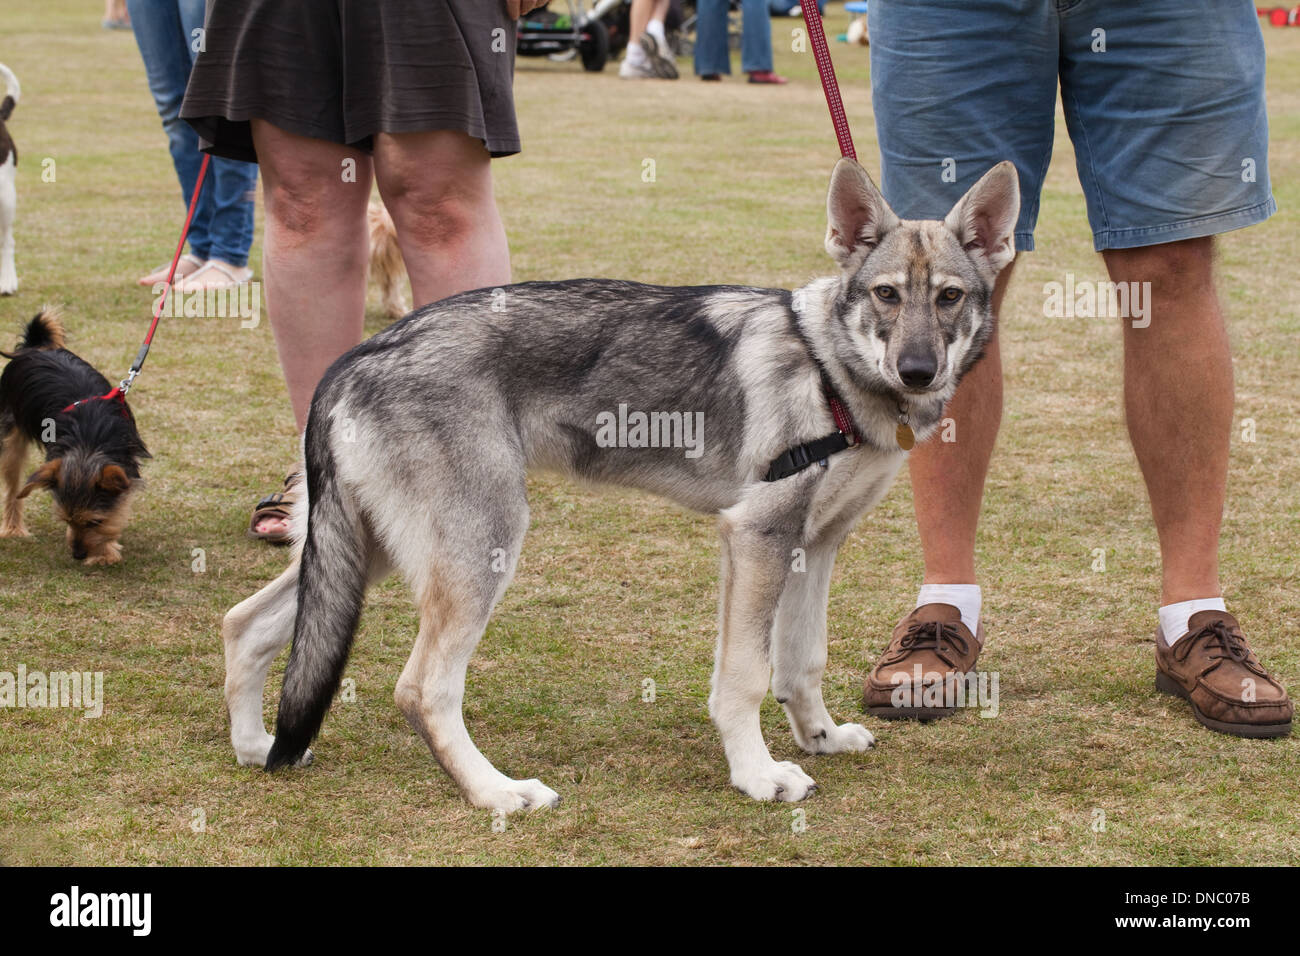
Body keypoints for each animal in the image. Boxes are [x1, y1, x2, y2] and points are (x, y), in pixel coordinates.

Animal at [220, 158, 1013, 816]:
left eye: (948, 297)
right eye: (886, 295)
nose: (918, 370)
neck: (830, 369)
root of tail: (356, 357)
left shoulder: (813, 548)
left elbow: (802, 662)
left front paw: (819, 739)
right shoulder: (757, 537)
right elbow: (746, 676)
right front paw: (758, 776)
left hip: (364, 556)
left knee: (244, 624)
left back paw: (260, 749)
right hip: (479, 550)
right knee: (421, 690)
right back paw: (496, 793)